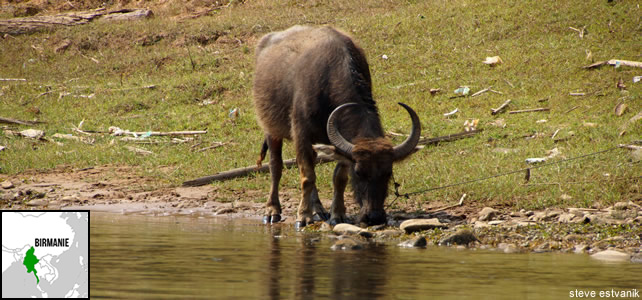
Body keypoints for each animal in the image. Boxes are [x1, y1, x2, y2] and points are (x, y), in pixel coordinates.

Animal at [252, 25, 422, 229]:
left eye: (388, 173)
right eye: (359, 172)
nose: (374, 217)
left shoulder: (341, 144)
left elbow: (338, 178)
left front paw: (337, 214)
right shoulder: (301, 134)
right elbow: (307, 177)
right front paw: (303, 216)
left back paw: (319, 208)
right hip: (271, 129)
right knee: (276, 167)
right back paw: (272, 210)